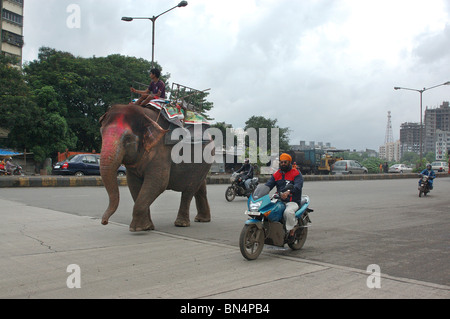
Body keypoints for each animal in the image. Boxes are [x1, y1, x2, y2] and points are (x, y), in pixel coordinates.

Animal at [98, 104, 213, 232]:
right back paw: (202, 219)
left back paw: (181, 223)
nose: (104, 222)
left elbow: (158, 182)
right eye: (101, 133)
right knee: (200, 186)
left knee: (189, 190)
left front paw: (136, 228)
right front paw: (146, 227)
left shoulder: (161, 150)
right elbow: (133, 184)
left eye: (128, 138)